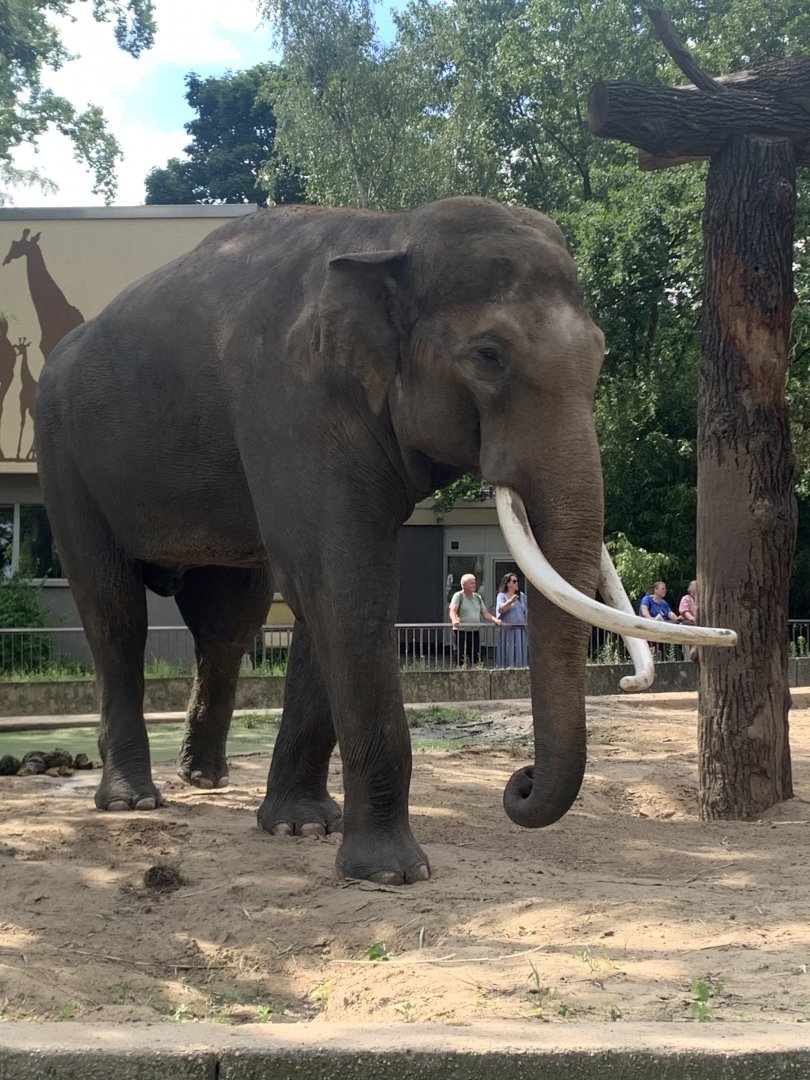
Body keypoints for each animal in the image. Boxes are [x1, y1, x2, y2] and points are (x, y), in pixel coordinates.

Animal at [35, 196, 735, 884]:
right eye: (488, 355)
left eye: (600, 354)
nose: (520, 782)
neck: (391, 232)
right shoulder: (291, 402)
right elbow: (341, 581)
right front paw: (391, 872)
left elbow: (323, 595)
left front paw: (301, 827)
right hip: (62, 453)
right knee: (115, 612)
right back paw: (132, 801)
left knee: (229, 621)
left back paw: (204, 778)